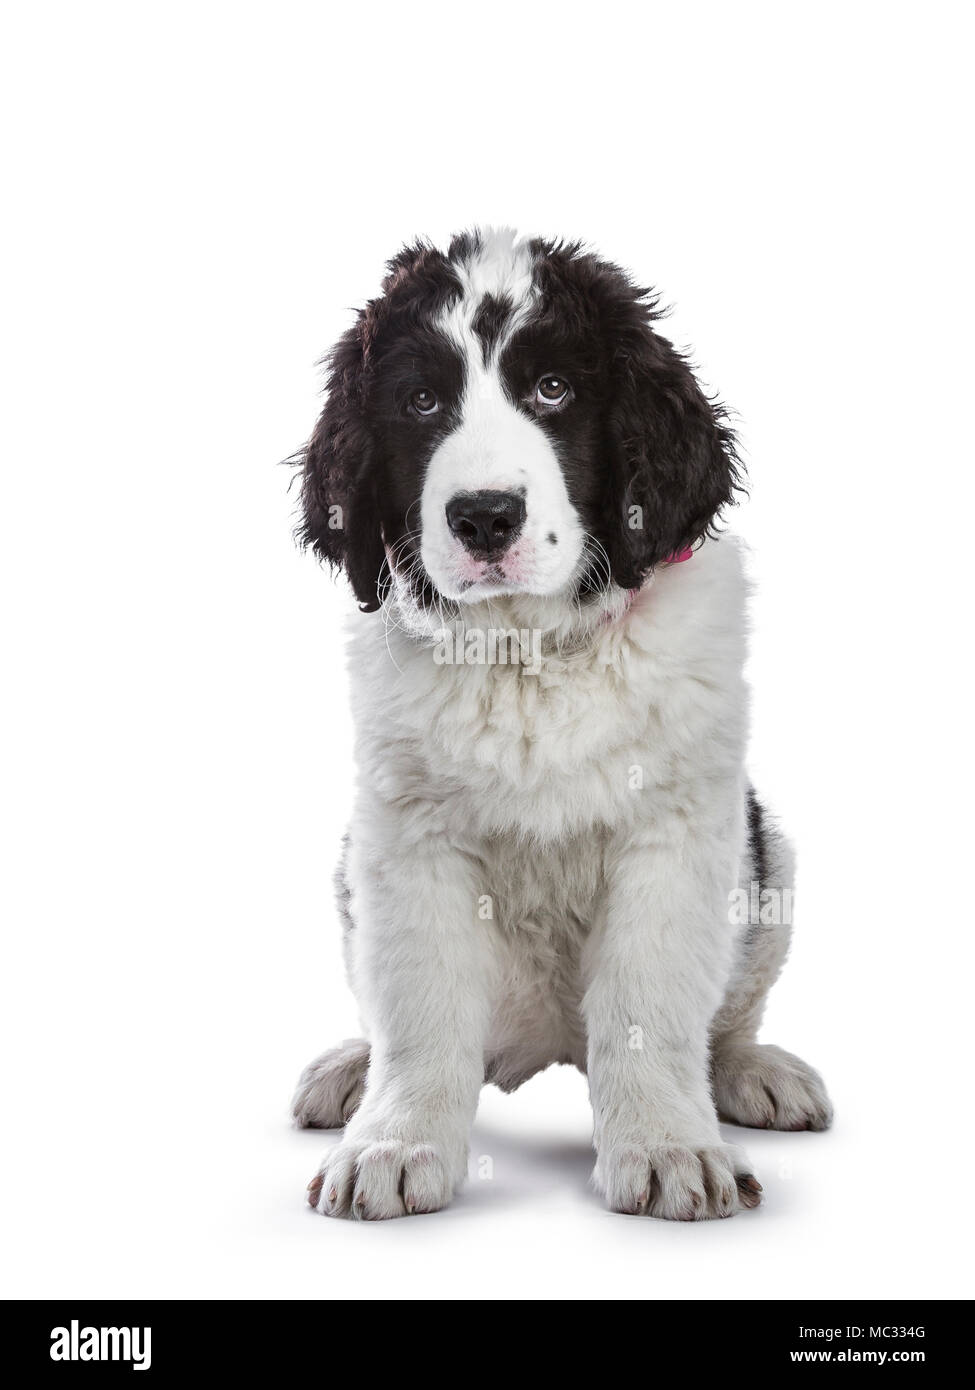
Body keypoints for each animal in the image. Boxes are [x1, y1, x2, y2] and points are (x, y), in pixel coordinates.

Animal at [290, 225, 828, 1217]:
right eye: (420, 400)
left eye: (552, 390)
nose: (484, 517)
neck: (528, 654)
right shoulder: (407, 841)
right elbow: (421, 1009)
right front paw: (394, 1143)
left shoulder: (676, 832)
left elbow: (651, 1004)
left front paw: (666, 1147)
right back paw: (353, 1073)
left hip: (767, 862)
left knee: (725, 1014)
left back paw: (750, 1074)